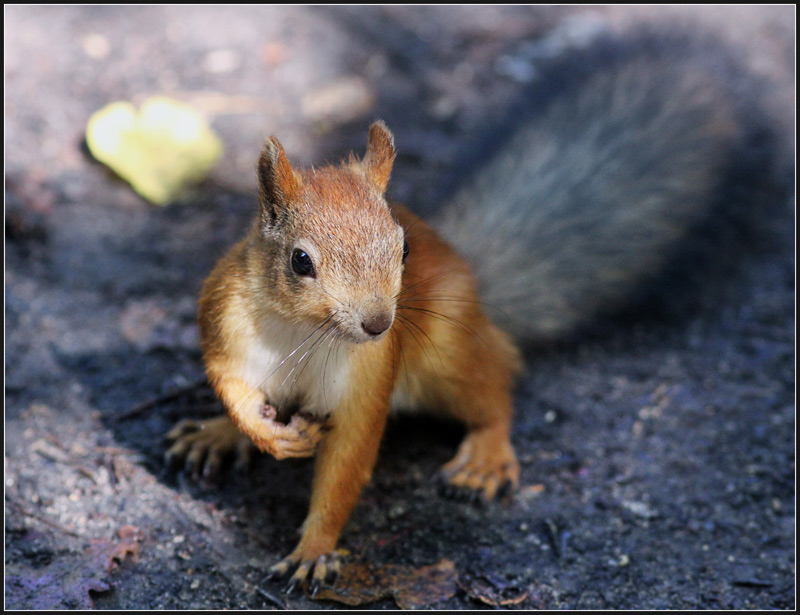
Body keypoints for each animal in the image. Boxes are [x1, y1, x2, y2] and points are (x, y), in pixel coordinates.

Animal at [164, 27, 780, 592]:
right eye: (299, 261)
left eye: (402, 248)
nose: (378, 323)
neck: (302, 333)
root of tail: (477, 287)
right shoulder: (224, 320)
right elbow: (228, 383)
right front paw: (259, 433)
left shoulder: (368, 380)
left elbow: (347, 464)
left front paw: (314, 548)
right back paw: (215, 434)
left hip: (448, 357)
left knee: (496, 385)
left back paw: (486, 453)